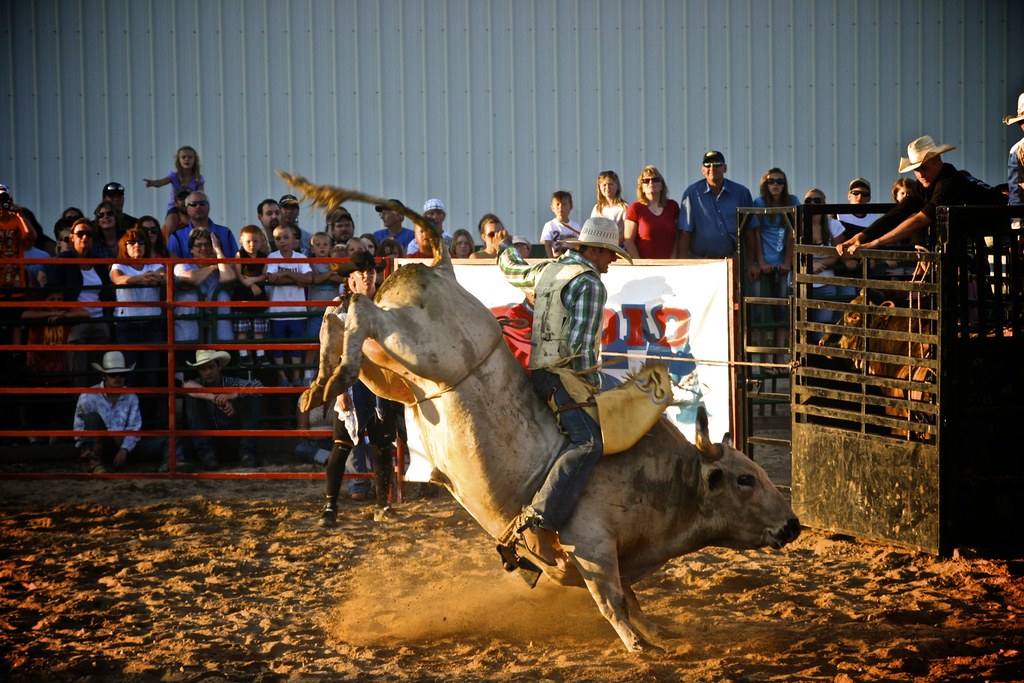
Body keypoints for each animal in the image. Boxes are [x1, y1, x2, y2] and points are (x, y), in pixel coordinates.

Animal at [284, 174, 800, 653]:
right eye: (745, 479)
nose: (793, 525)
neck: (672, 481)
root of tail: (443, 266)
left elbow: (633, 601)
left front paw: (657, 636)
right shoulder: (593, 546)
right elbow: (613, 601)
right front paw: (637, 647)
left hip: (396, 374)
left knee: (340, 317)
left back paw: (321, 384)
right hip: (419, 348)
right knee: (359, 309)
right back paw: (334, 376)